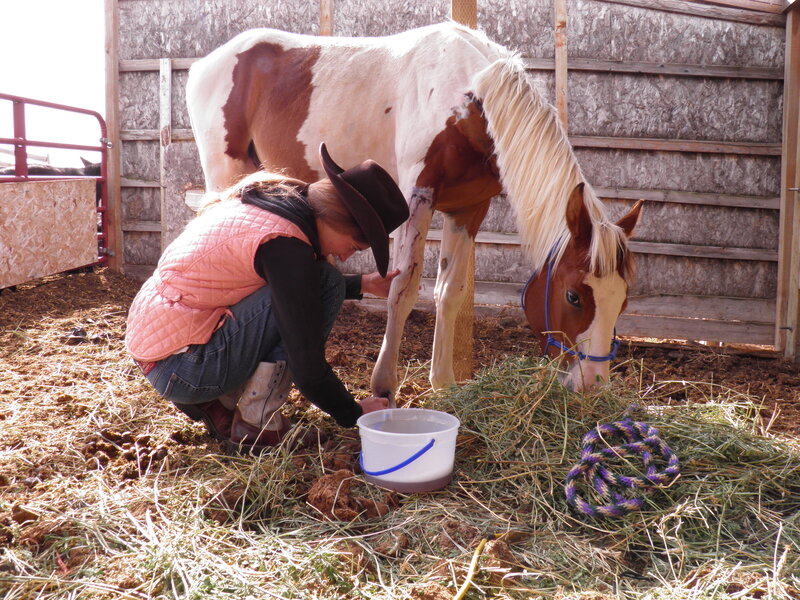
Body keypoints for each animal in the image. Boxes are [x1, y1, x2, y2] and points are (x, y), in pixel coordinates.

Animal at [185, 22, 643, 396]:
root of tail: (207, 63)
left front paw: (443, 383)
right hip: (224, 173)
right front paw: (384, 386)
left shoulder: (467, 211)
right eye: (574, 296)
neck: (467, 98)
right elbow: (402, 291)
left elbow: (449, 293)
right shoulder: (416, 199)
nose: (592, 384)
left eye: (623, 300)